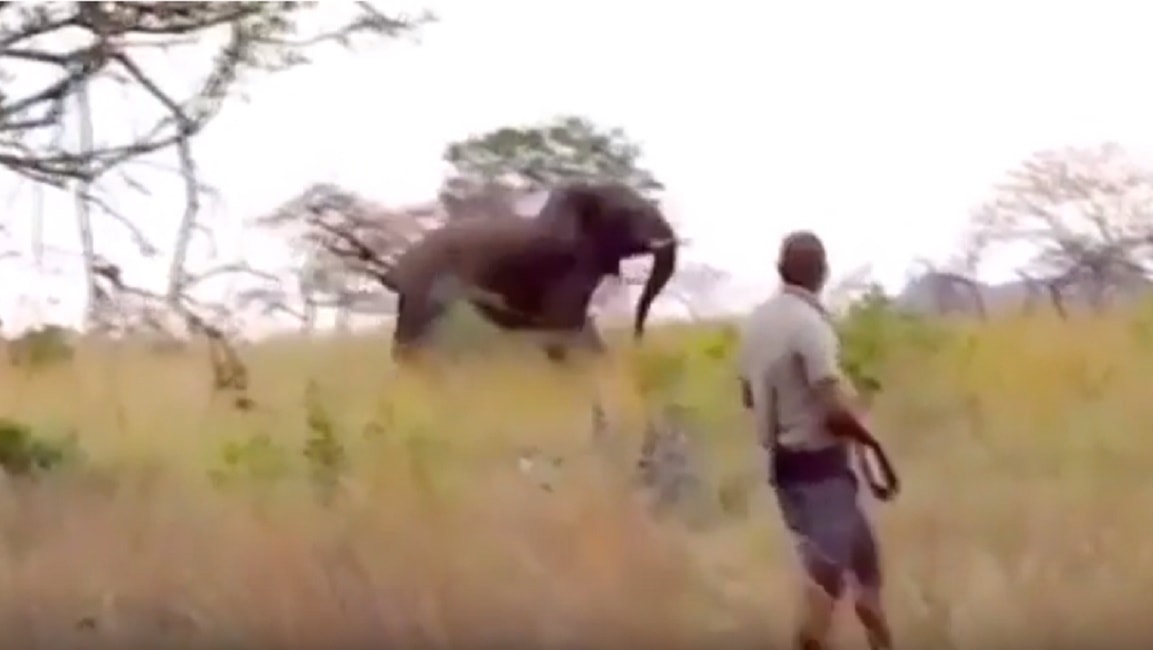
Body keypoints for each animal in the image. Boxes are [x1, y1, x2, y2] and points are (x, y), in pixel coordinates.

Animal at [386, 181, 679, 363]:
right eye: (633, 212)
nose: (637, 341)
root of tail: (401, 263)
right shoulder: (565, 269)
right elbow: (567, 326)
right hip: (426, 282)